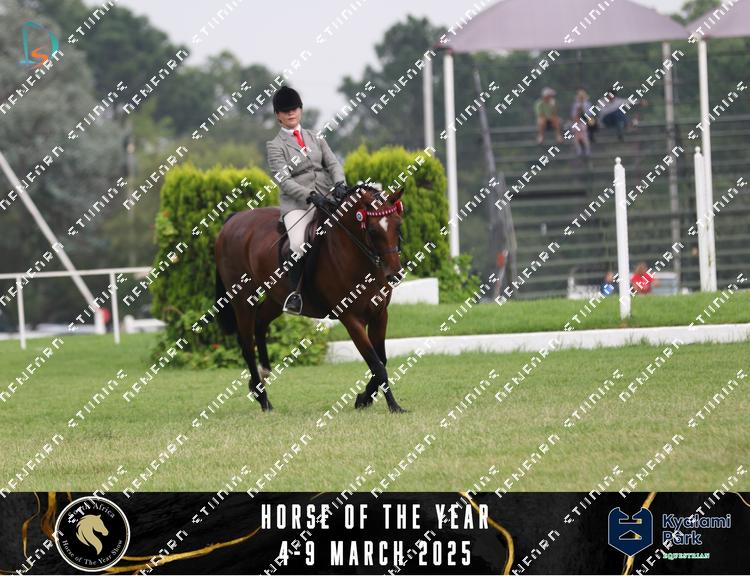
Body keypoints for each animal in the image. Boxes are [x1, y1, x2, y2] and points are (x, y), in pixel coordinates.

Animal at [214, 184, 407, 413]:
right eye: (373, 231)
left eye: (398, 226)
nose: (394, 274)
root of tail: (234, 219)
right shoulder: (351, 319)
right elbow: (377, 364)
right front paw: (393, 406)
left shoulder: (380, 314)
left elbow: (382, 360)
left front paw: (364, 399)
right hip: (243, 300)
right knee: (246, 344)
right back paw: (263, 398)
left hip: (276, 298)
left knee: (260, 323)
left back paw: (262, 375)